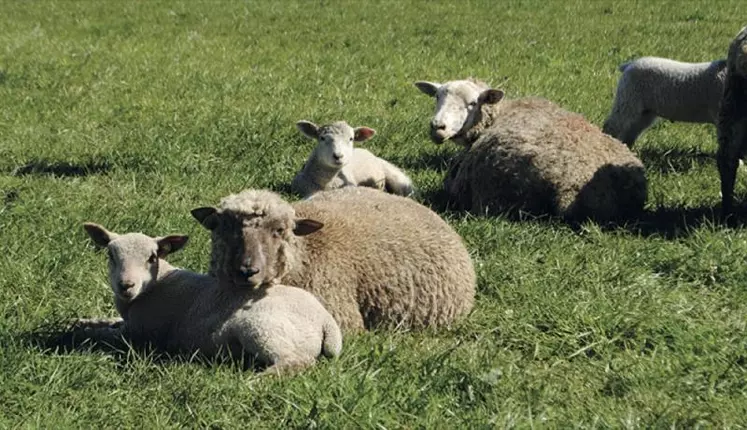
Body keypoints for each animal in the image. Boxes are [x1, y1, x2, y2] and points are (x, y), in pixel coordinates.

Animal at [79, 222, 342, 372]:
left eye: (152, 257)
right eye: (111, 255)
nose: (126, 285)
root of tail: (326, 322)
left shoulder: (142, 333)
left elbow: (107, 335)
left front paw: (84, 331)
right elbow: (108, 322)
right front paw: (86, 320)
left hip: (262, 329)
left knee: (296, 362)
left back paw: (256, 381)